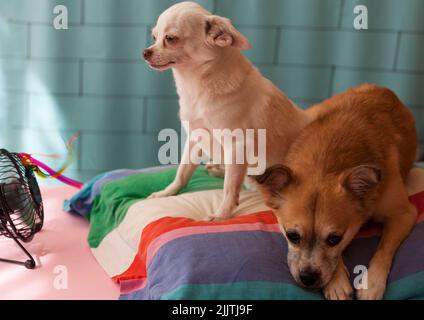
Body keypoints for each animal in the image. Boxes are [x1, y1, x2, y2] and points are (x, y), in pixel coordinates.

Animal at [253, 84, 420, 300]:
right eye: (292, 236)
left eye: (334, 239)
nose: (308, 278)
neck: (326, 164)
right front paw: (337, 281)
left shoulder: (403, 214)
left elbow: (384, 248)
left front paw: (372, 282)